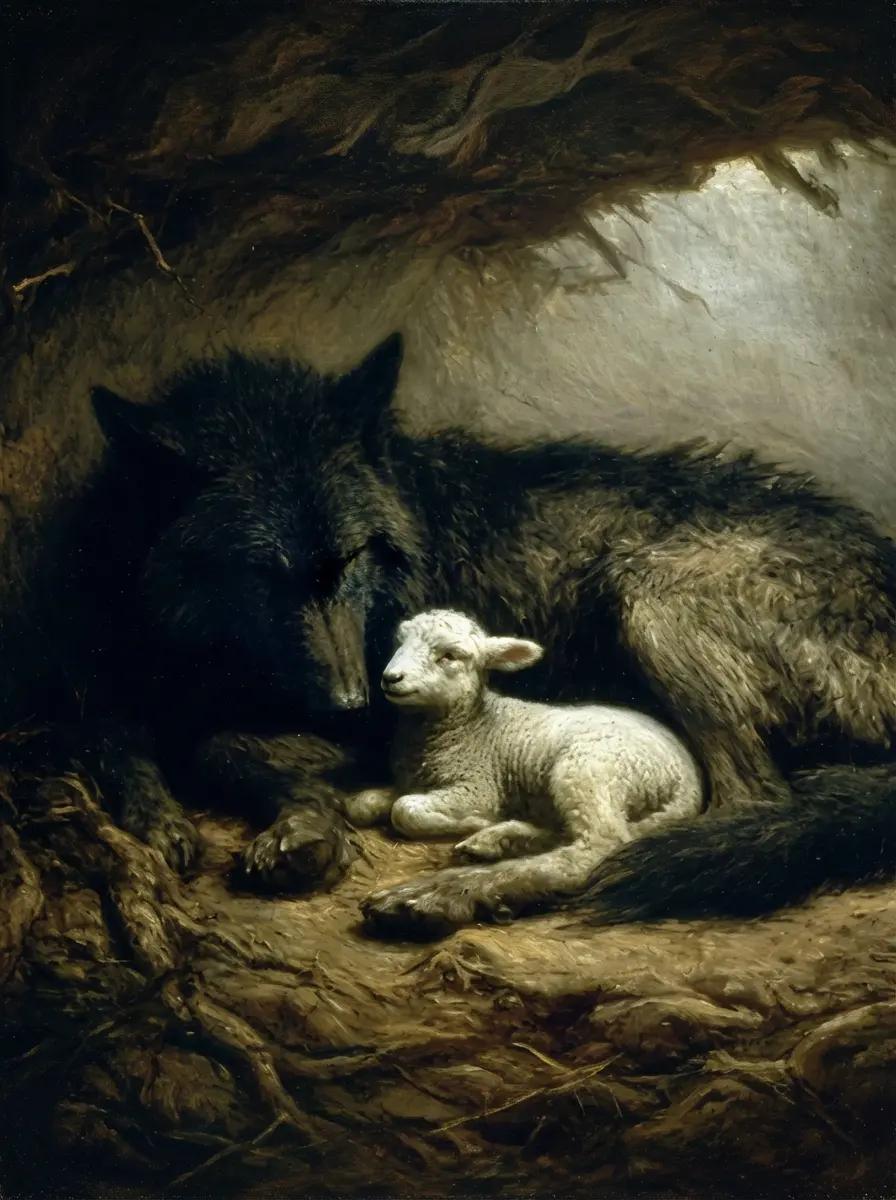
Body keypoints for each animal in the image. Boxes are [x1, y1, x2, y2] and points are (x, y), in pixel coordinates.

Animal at [40, 332, 896, 928]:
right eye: (261, 572)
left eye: (353, 557)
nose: (356, 701)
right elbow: (114, 733)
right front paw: (159, 817)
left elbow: (221, 744)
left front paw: (305, 827)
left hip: (649, 596)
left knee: (694, 822)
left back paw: (453, 893)